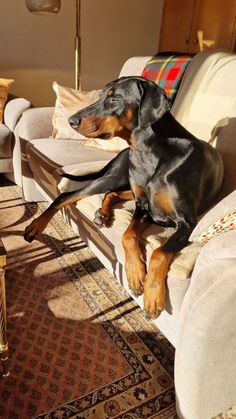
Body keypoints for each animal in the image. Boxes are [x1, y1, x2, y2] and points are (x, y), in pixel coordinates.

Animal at [23, 76, 223, 318]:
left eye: (114, 99)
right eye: (100, 95)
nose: (71, 121)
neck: (147, 152)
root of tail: (123, 153)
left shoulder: (185, 222)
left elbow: (158, 251)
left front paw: (151, 294)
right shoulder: (143, 207)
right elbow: (127, 236)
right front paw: (136, 274)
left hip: (122, 183)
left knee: (109, 193)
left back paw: (101, 214)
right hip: (116, 177)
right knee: (68, 195)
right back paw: (36, 226)